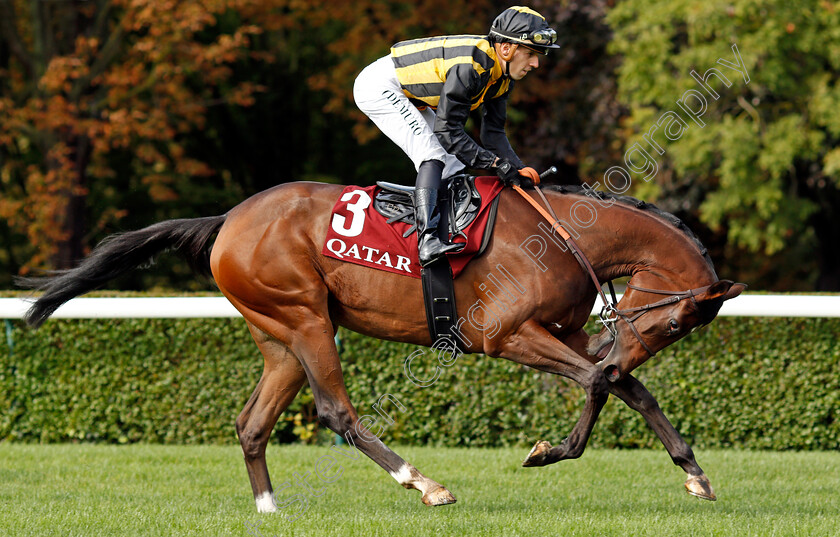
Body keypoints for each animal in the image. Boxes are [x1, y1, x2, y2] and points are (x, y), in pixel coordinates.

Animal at [19, 180, 740, 510]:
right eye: (674, 326)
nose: (622, 343)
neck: (568, 237)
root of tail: (228, 219)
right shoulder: (507, 334)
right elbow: (600, 382)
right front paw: (547, 450)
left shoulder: (562, 333)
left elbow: (627, 387)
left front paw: (696, 474)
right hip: (306, 318)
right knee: (336, 411)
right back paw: (424, 482)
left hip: (279, 336)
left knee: (252, 421)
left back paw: (268, 506)